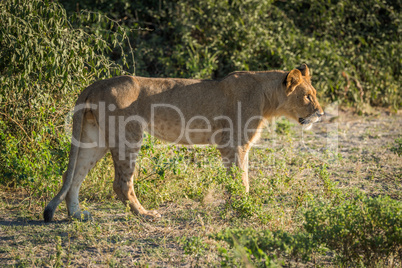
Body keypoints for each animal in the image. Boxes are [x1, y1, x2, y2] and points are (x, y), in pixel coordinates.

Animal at [43, 63, 324, 222]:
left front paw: (237, 204)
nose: (321, 114)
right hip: (128, 136)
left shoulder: (233, 147)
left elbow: (237, 178)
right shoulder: (234, 143)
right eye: (307, 97)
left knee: (73, 175)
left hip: (95, 139)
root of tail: (93, 85)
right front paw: (243, 207)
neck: (267, 98)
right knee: (121, 183)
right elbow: (241, 179)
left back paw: (77, 215)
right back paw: (145, 215)